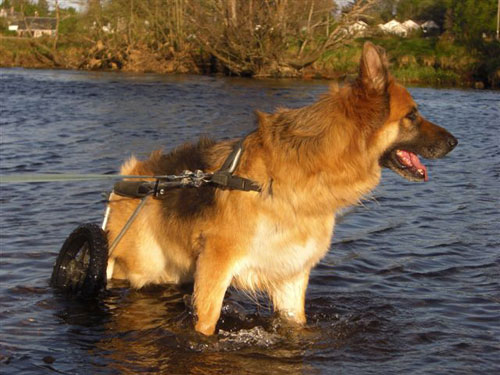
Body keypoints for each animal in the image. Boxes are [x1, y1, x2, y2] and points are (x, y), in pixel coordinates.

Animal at [105, 42, 458, 336]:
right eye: (412, 115)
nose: (455, 142)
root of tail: (131, 177)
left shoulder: (291, 276)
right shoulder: (216, 269)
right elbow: (206, 324)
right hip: (137, 268)